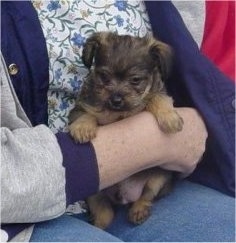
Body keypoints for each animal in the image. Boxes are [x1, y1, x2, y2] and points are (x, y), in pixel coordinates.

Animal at [68, 31, 183, 229]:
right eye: (104, 77)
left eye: (135, 80)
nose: (116, 99)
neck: (118, 113)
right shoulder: (80, 107)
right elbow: (87, 114)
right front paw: (83, 128)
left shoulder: (155, 94)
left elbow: (157, 98)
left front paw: (169, 117)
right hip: (94, 193)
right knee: (105, 213)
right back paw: (98, 223)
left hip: (158, 178)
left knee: (146, 195)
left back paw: (138, 210)